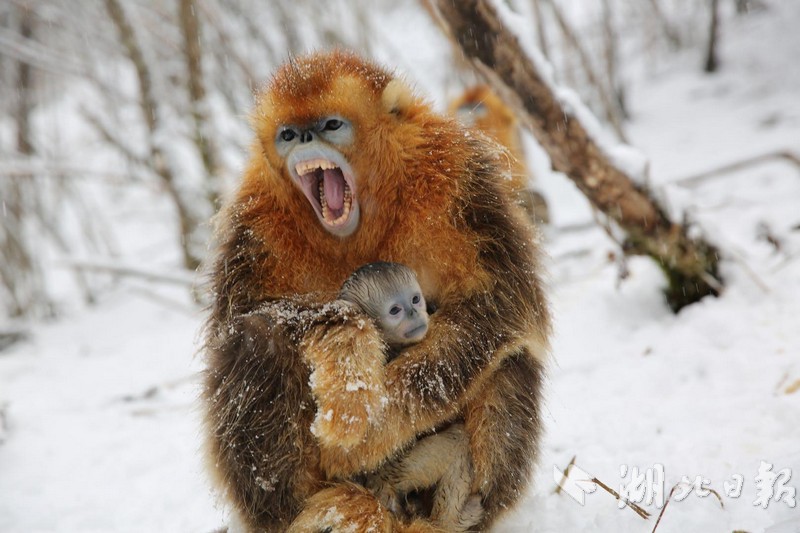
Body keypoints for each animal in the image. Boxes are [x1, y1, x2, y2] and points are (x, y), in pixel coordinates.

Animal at [338, 262, 482, 532]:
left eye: (415, 299)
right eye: (395, 310)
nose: (415, 313)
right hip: (395, 473)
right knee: (457, 441)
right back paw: (450, 521)